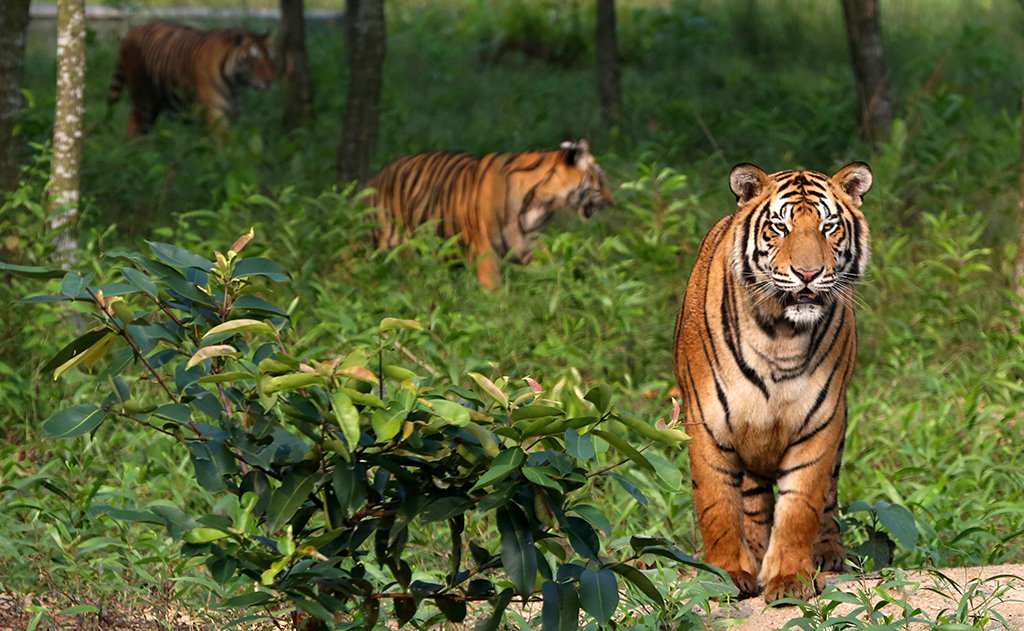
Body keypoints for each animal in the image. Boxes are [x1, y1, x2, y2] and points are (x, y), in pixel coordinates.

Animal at [107, 21, 276, 137]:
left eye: (271, 59)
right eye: (255, 59)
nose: (270, 81)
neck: (236, 85)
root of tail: (132, 33)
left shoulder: (233, 114)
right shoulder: (214, 112)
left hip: (156, 101)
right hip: (143, 100)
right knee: (135, 125)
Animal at [368, 140, 614, 290]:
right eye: (599, 183)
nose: (612, 202)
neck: (541, 204)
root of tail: (377, 176)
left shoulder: (530, 244)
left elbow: (553, 268)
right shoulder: (485, 251)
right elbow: (494, 293)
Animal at [672, 162, 872, 603]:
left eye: (829, 226)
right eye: (780, 227)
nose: (808, 273)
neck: (780, 335)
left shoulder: (821, 422)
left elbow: (801, 507)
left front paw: (790, 578)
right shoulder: (708, 421)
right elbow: (717, 505)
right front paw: (726, 574)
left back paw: (828, 553)